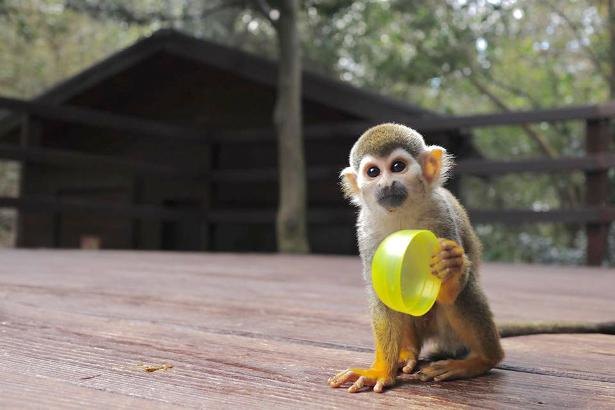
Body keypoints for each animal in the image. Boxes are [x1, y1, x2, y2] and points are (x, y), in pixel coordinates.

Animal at [328, 123, 615, 392]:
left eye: (397, 166)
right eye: (373, 172)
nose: (387, 184)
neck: (401, 214)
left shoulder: (441, 216)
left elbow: (451, 288)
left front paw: (450, 266)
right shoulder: (366, 228)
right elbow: (384, 293)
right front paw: (381, 371)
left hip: (450, 333)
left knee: (465, 293)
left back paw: (483, 360)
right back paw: (408, 351)